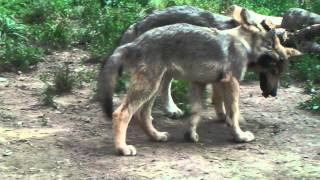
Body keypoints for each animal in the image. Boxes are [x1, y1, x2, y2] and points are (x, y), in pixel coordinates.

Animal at [99, 16, 302, 155]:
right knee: (121, 113)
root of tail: (136, 42)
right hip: (148, 87)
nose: (273, 94)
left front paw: (191, 135)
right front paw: (240, 136)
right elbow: (233, 114)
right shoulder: (232, 83)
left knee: (142, 115)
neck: (243, 43)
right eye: (272, 45)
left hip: (153, 88)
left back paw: (156, 137)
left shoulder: (199, 83)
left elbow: (196, 113)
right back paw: (123, 149)